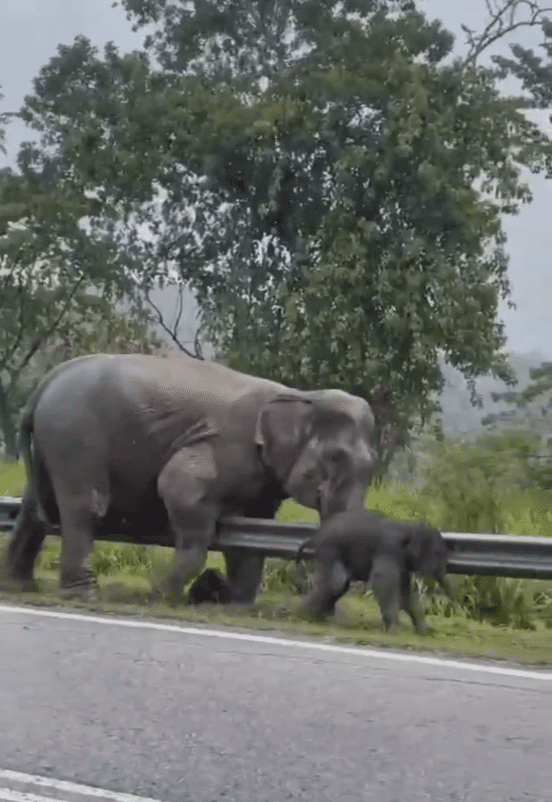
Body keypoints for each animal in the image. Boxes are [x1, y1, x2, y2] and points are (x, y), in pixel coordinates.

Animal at [6, 352, 381, 603]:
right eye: (335, 458)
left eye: (372, 466)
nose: (214, 588)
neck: (298, 394)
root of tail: (47, 382)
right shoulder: (228, 444)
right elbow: (179, 488)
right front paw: (162, 593)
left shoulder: (262, 480)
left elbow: (252, 530)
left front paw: (236, 603)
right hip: (76, 437)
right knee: (85, 507)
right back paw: (83, 595)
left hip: (53, 442)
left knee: (35, 506)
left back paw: (21, 585)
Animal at [295, 509, 451, 632]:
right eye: (438, 553)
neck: (410, 527)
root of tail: (314, 536)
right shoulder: (389, 550)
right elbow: (381, 581)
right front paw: (395, 629)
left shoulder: (402, 563)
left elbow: (405, 594)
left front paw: (426, 631)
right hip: (330, 549)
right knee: (337, 583)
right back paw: (304, 615)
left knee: (338, 585)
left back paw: (313, 617)